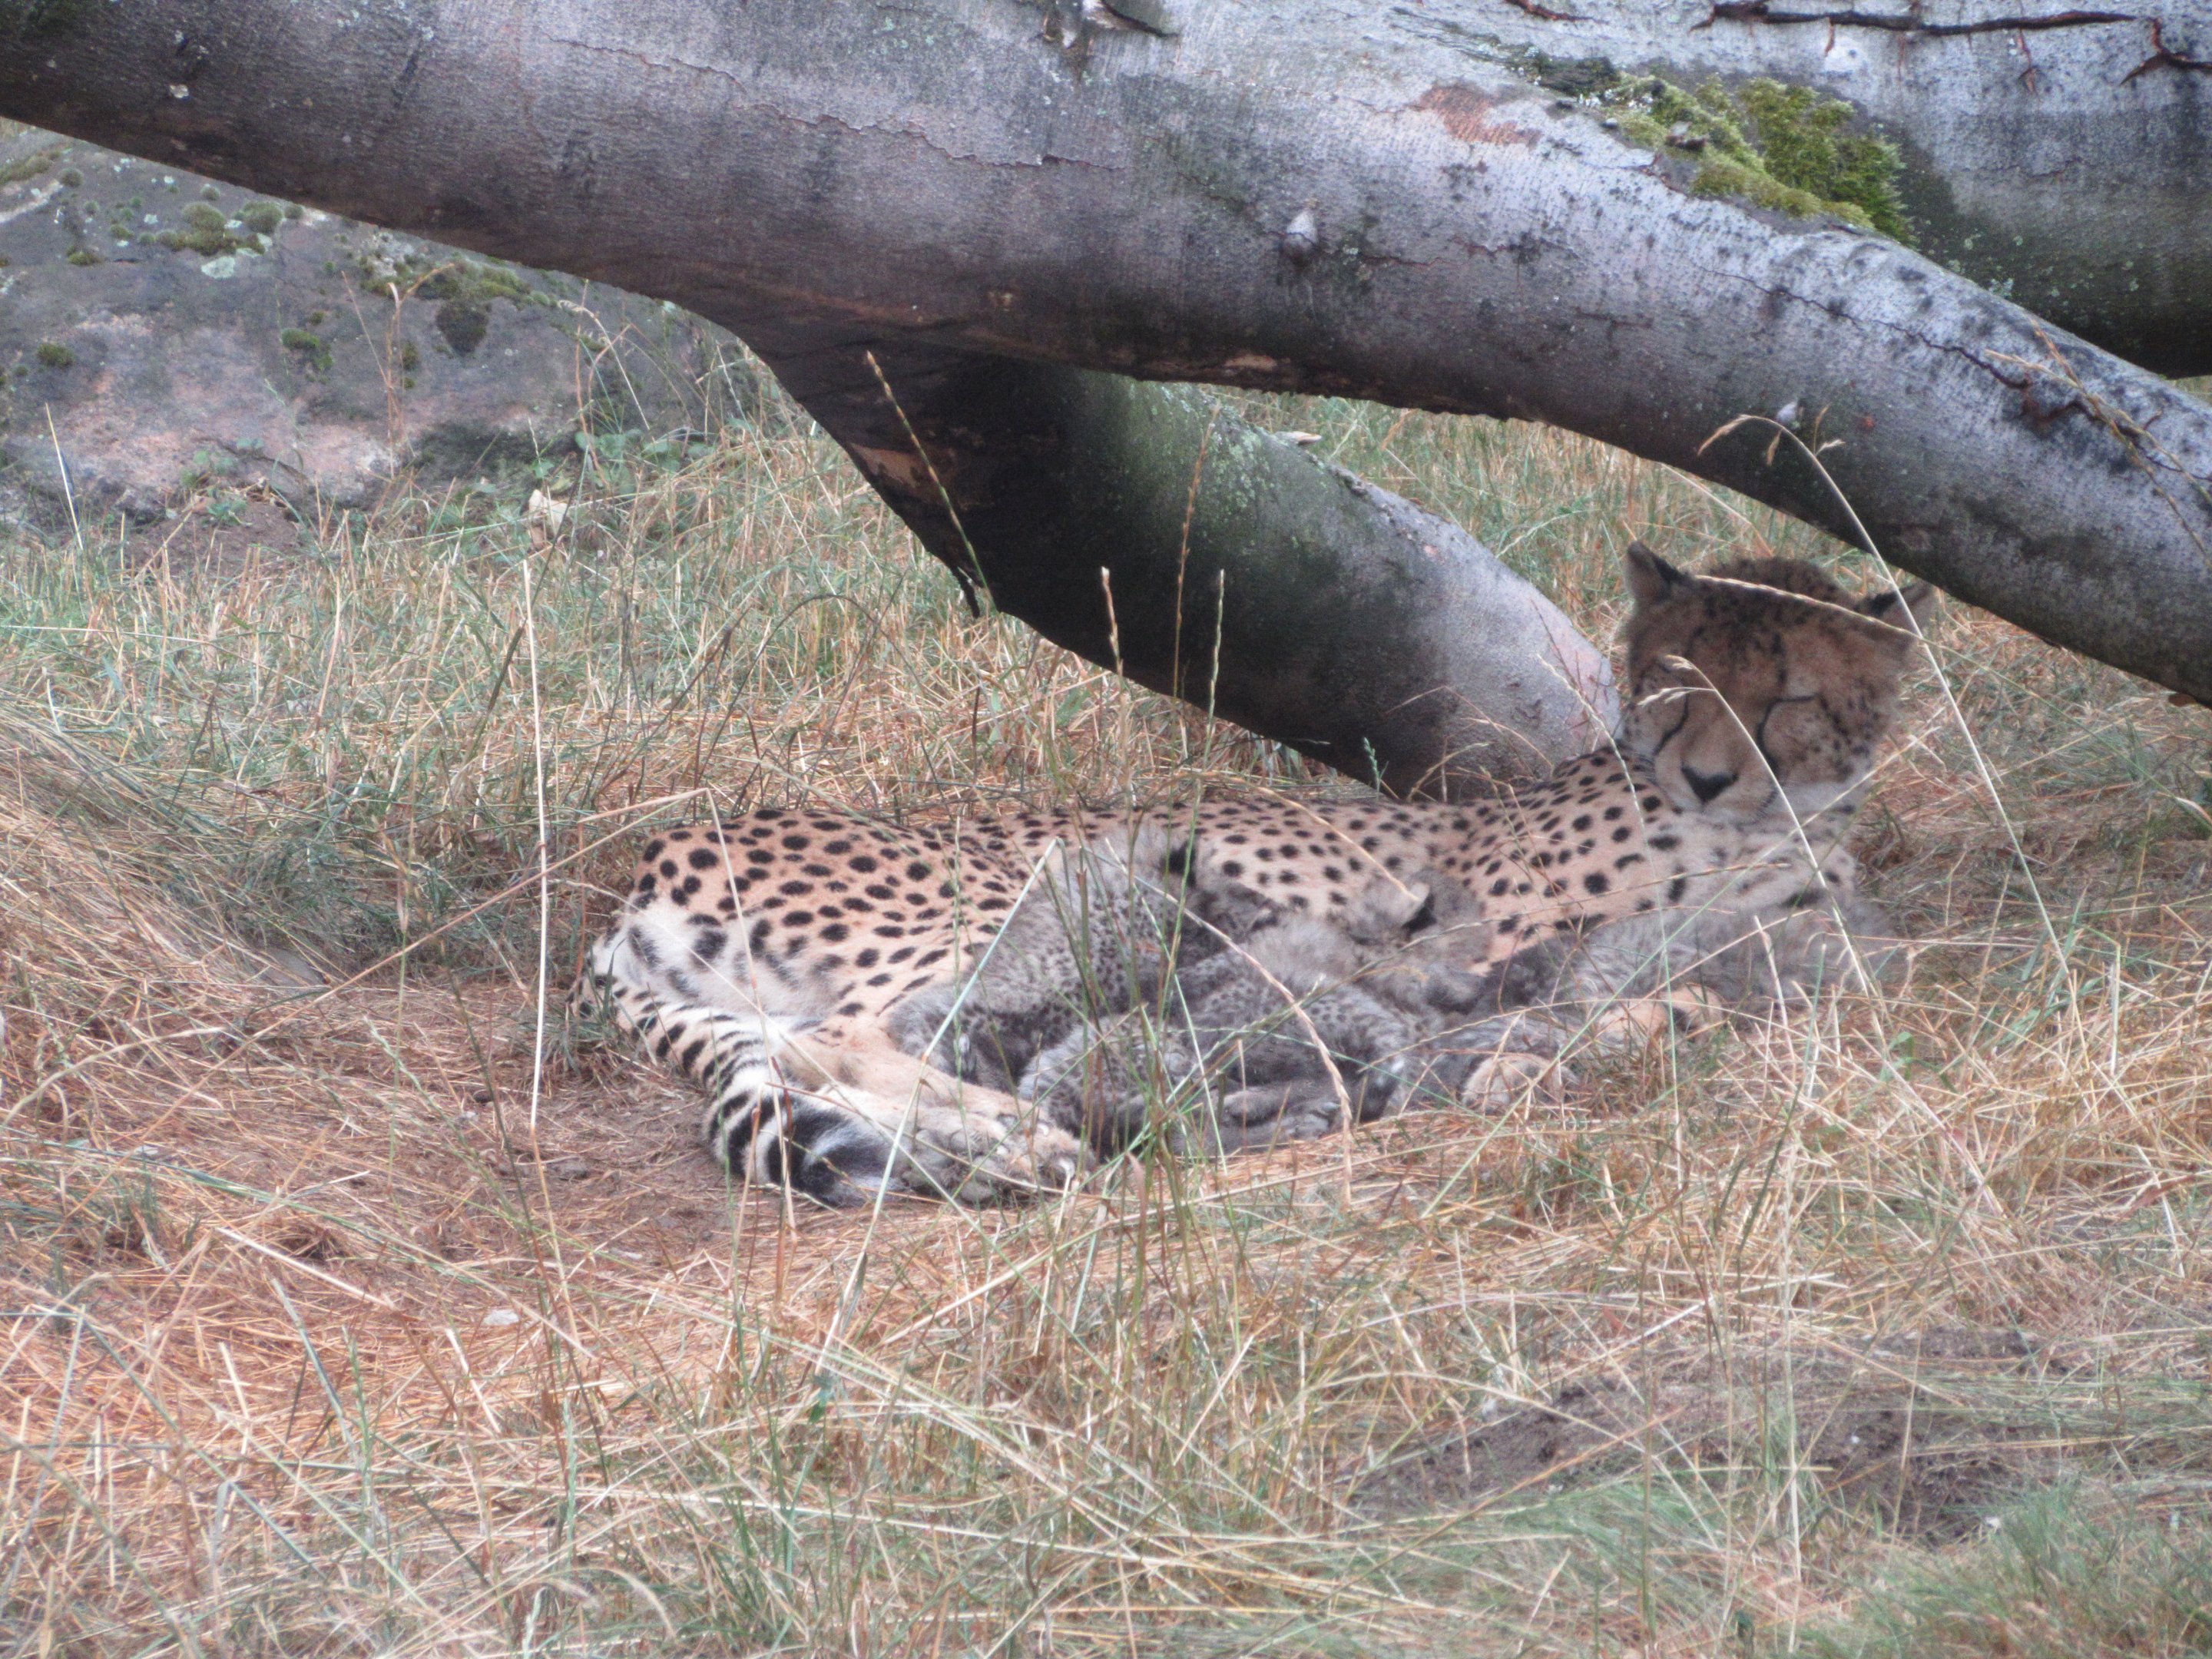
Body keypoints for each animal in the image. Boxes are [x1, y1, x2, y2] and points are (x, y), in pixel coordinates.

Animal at [573, 542, 1935, 1206]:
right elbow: (1544, 998)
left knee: (807, 1059)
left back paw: (985, 1146)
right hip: (1013, 898)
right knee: (848, 1038)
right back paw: (1011, 1138)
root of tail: (651, 867)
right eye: (1676, 681)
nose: (1704, 776)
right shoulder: (1488, 939)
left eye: (1788, 696)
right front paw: (1595, 1043)